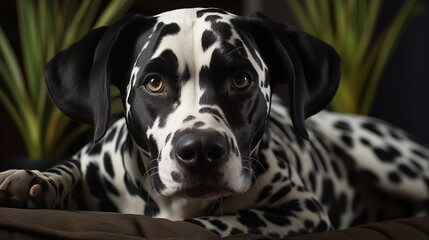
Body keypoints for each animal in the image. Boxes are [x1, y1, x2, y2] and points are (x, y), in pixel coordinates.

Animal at [0, 7, 428, 238]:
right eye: (153, 82)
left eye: (241, 79)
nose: (201, 149)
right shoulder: (93, 163)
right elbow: (67, 170)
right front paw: (32, 182)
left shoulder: (301, 210)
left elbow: (221, 222)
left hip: (383, 157)